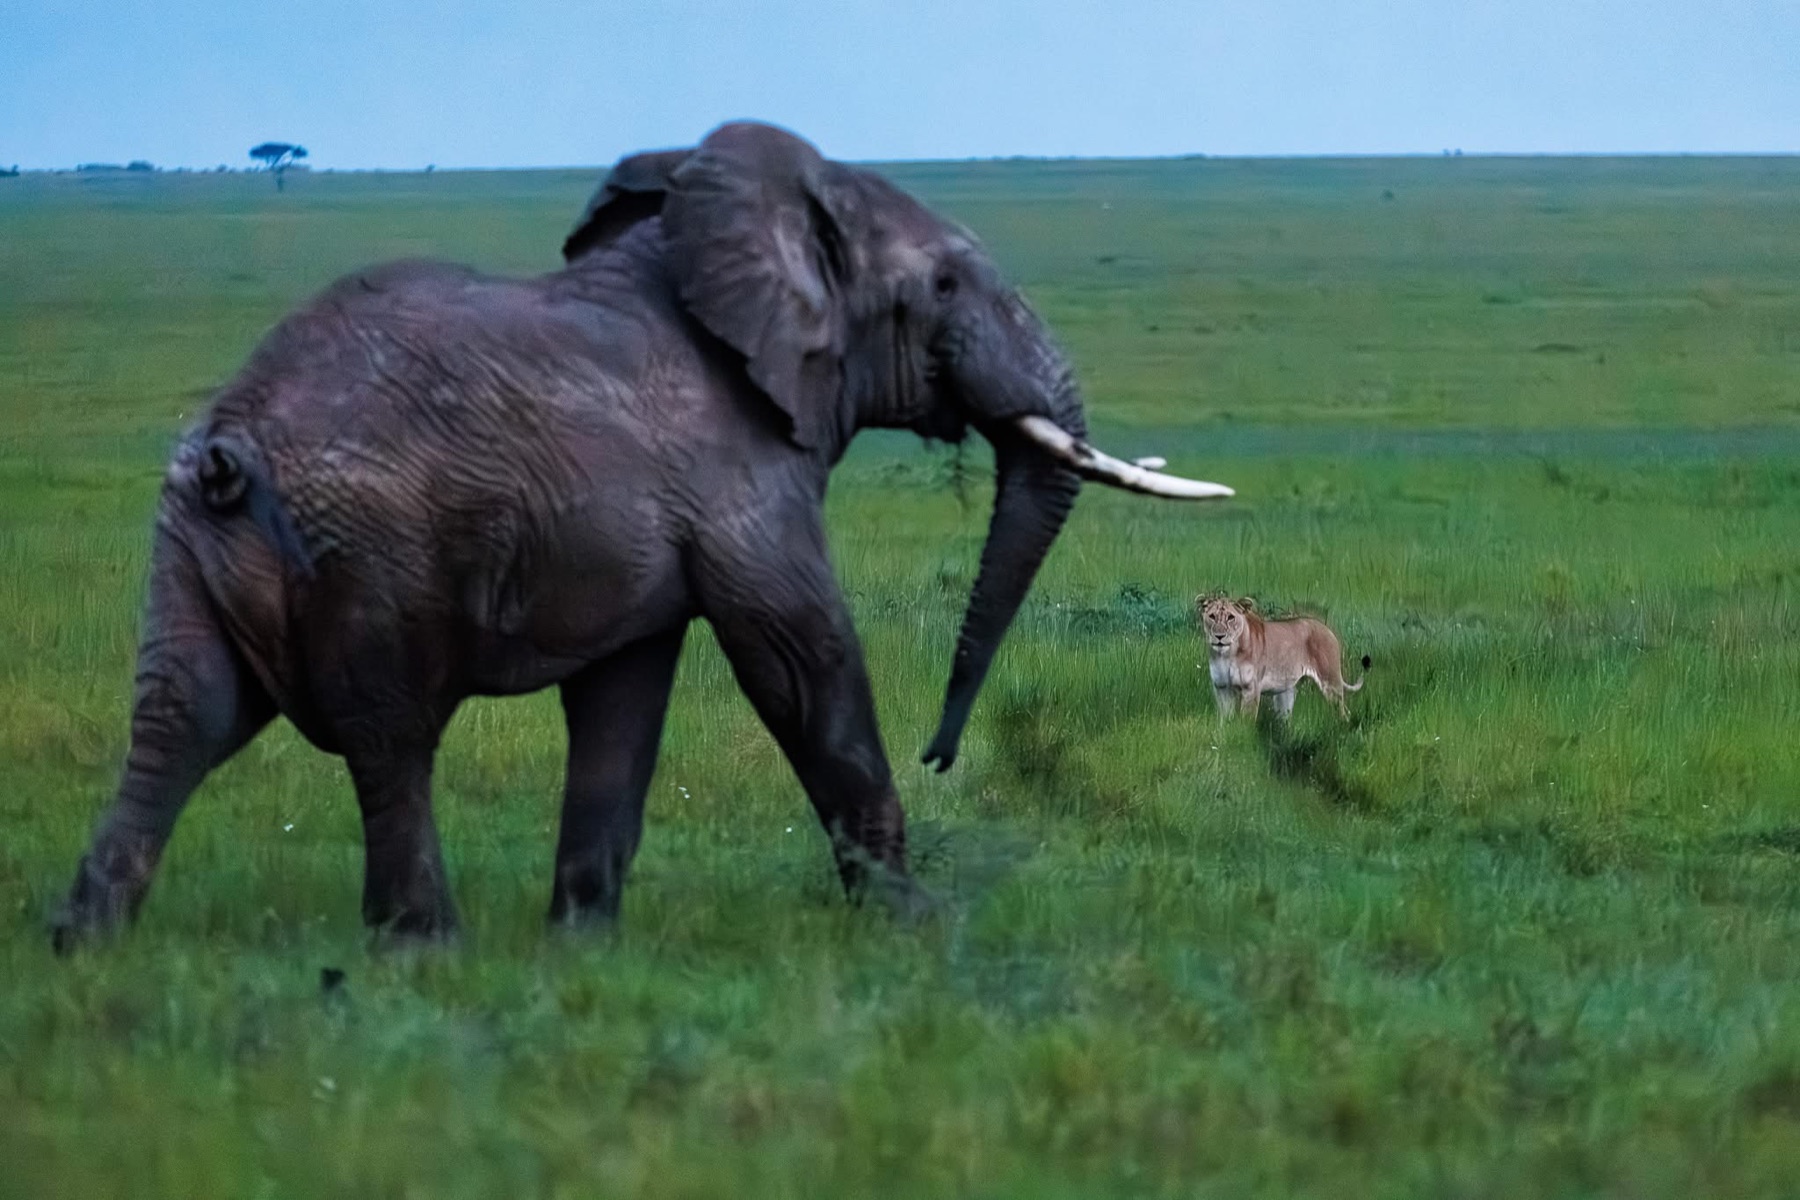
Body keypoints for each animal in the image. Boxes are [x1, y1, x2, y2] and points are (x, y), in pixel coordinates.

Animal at [53, 121, 1230, 946]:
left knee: (183, 715)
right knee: (390, 738)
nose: (944, 755)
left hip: (191, 545)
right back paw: (423, 950)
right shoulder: (736, 473)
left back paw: (85, 945)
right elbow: (799, 660)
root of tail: (230, 447)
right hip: (367, 553)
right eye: (942, 284)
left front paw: (584, 944)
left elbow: (627, 699)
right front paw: (914, 927)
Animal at [1197, 594, 1367, 720]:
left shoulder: (1251, 688)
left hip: (1330, 681)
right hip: (1287, 691)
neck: (1226, 654)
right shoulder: (1221, 688)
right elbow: (1225, 720)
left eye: (1230, 617)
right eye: (1212, 616)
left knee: (1343, 712)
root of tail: (1326, 628)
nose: (1219, 636)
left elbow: (1246, 720)